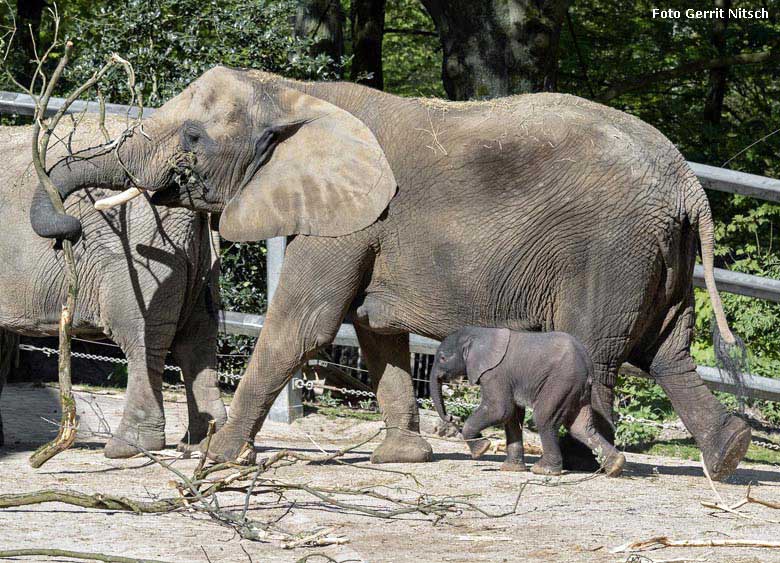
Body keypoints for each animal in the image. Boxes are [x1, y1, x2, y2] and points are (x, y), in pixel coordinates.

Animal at [3, 115, 227, 458]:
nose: (66, 238)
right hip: (202, 256)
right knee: (198, 337)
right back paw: (205, 443)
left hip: (141, 252)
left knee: (142, 336)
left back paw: (128, 447)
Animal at [430, 326, 624, 476]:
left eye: (443, 358)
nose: (449, 417)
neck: (479, 333)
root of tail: (588, 363)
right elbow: (512, 416)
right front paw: (510, 469)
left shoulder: (494, 373)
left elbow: (500, 410)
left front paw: (481, 449)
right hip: (577, 389)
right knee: (580, 428)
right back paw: (615, 467)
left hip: (562, 381)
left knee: (544, 418)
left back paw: (543, 470)